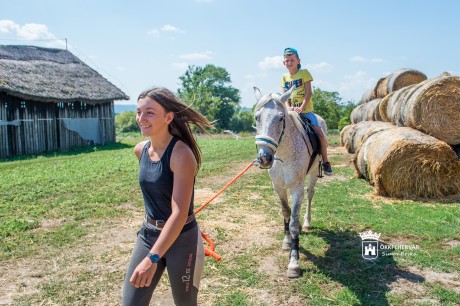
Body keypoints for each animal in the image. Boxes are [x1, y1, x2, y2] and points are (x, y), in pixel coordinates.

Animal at [253, 86, 326, 278]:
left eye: (281, 118)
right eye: (257, 117)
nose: (264, 158)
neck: (284, 156)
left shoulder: (296, 188)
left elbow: (292, 223)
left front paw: (294, 263)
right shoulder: (278, 187)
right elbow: (286, 213)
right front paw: (287, 241)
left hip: (313, 173)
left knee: (310, 195)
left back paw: (306, 223)